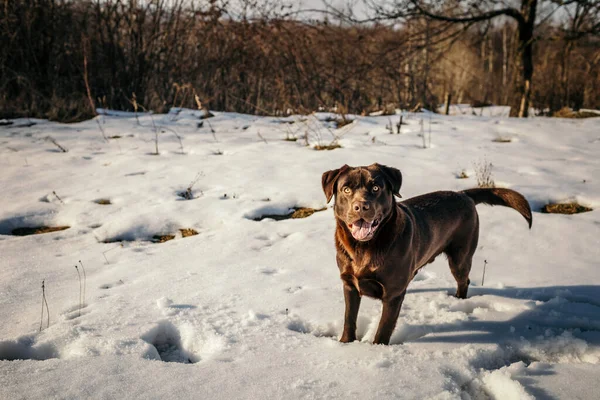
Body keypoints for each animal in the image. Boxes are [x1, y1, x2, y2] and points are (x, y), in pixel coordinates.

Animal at [322, 164, 532, 346]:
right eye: (346, 189)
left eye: (376, 188)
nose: (361, 207)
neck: (364, 247)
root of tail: (463, 194)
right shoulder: (349, 284)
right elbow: (349, 318)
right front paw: (345, 343)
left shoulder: (393, 294)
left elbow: (384, 327)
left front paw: (377, 348)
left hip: (460, 257)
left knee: (464, 280)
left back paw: (458, 300)